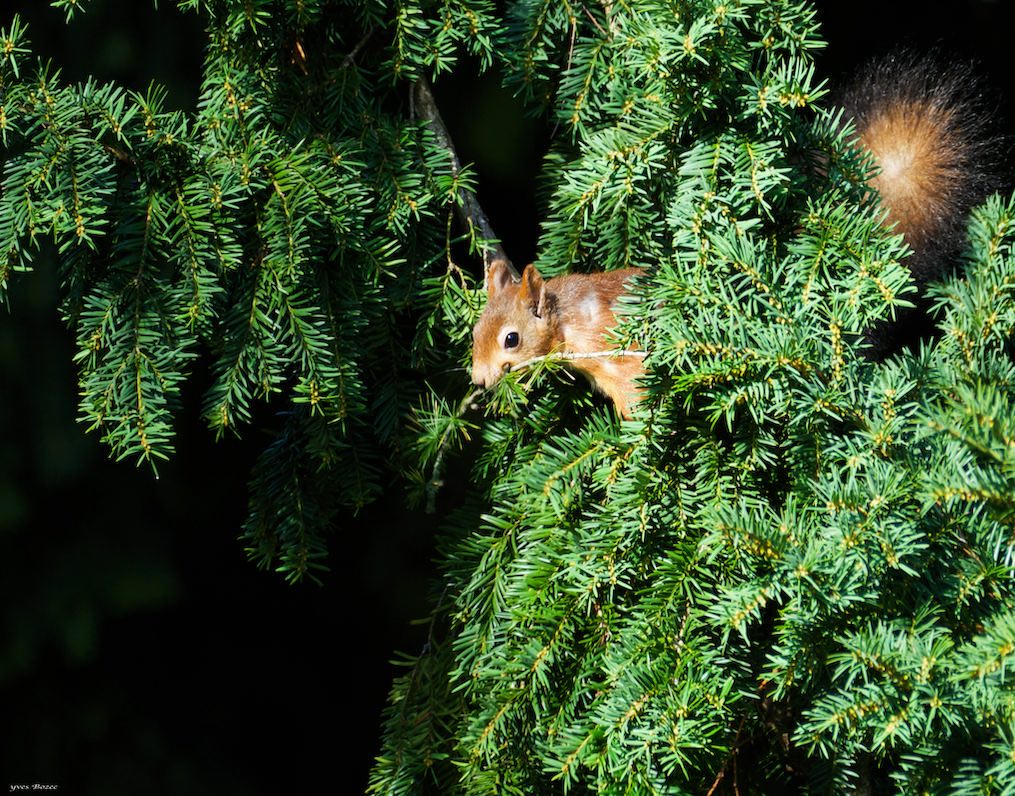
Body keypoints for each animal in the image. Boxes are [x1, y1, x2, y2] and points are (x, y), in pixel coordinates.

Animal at [470, 54, 994, 416]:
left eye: (512, 340)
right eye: (475, 332)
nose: (477, 381)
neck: (570, 318)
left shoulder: (623, 361)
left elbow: (636, 400)